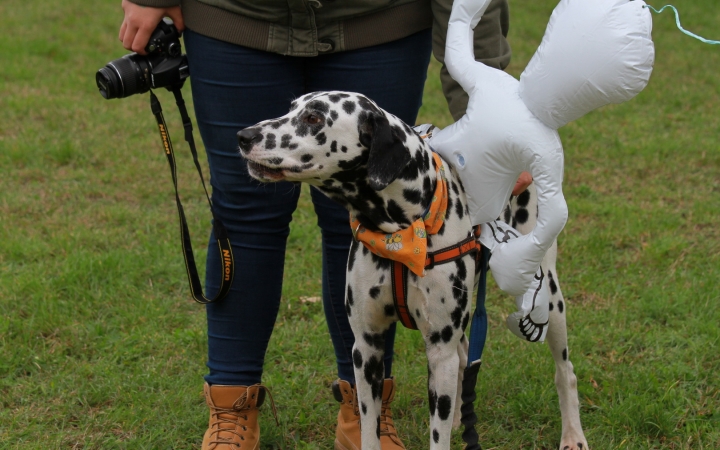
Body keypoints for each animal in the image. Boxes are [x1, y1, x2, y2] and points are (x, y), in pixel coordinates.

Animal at [236, 91, 584, 450]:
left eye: (314, 118)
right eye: (291, 108)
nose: (243, 136)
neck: (401, 232)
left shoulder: (439, 350)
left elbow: (438, 436)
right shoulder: (366, 348)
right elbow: (369, 429)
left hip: (548, 296)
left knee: (565, 370)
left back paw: (573, 434)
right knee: (463, 360)